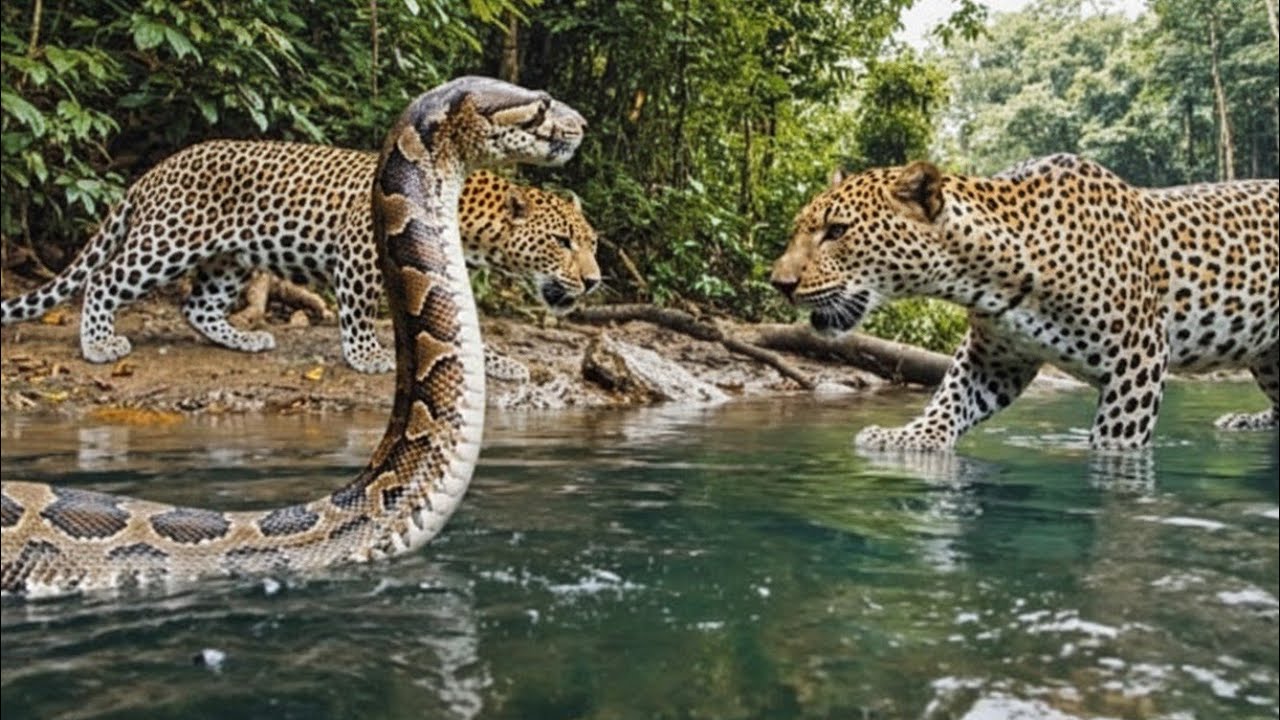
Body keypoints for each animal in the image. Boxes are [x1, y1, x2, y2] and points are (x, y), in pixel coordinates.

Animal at [1, 139, 601, 374]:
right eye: (562, 242)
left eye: (591, 243)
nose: (594, 281)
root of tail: (155, 169)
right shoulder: (358, 255)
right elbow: (358, 313)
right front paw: (367, 357)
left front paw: (504, 364)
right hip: (167, 241)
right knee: (104, 280)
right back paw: (99, 344)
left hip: (231, 258)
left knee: (196, 306)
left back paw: (246, 340)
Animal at [770, 153, 1279, 451]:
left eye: (837, 231)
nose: (779, 283)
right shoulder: (996, 357)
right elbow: (949, 400)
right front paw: (907, 437)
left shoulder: (1139, 355)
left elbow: (1116, 438)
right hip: (1269, 357)